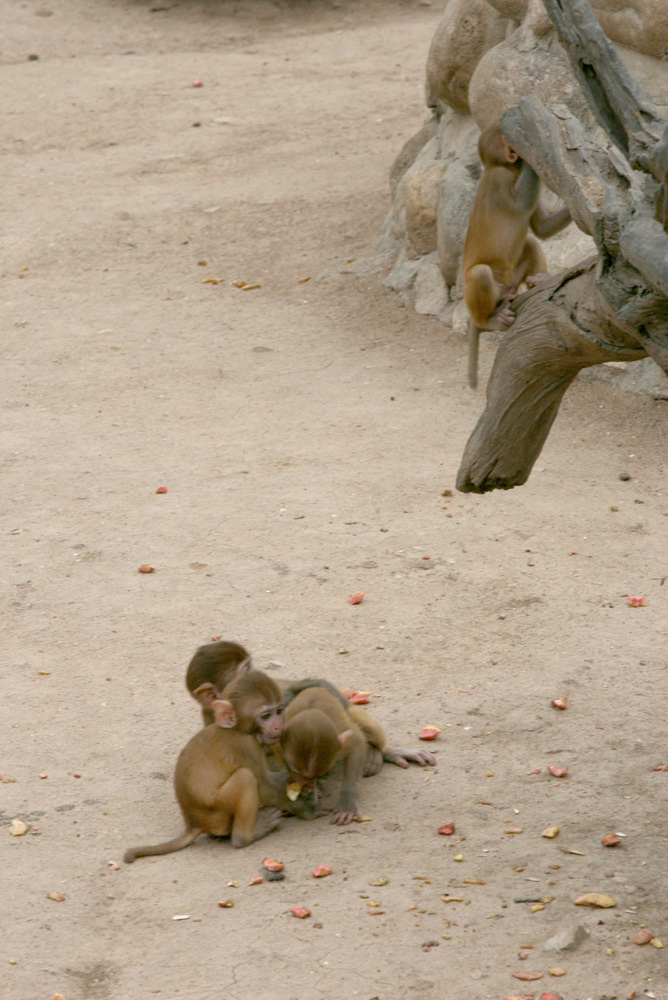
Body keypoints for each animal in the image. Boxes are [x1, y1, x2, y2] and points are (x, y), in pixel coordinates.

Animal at [462, 123, 572, 388]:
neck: (503, 168)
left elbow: (542, 227)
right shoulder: (500, 180)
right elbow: (522, 203)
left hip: (513, 279)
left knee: (529, 242)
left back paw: (539, 280)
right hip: (486, 290)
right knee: (480, 274)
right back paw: (486, 321)